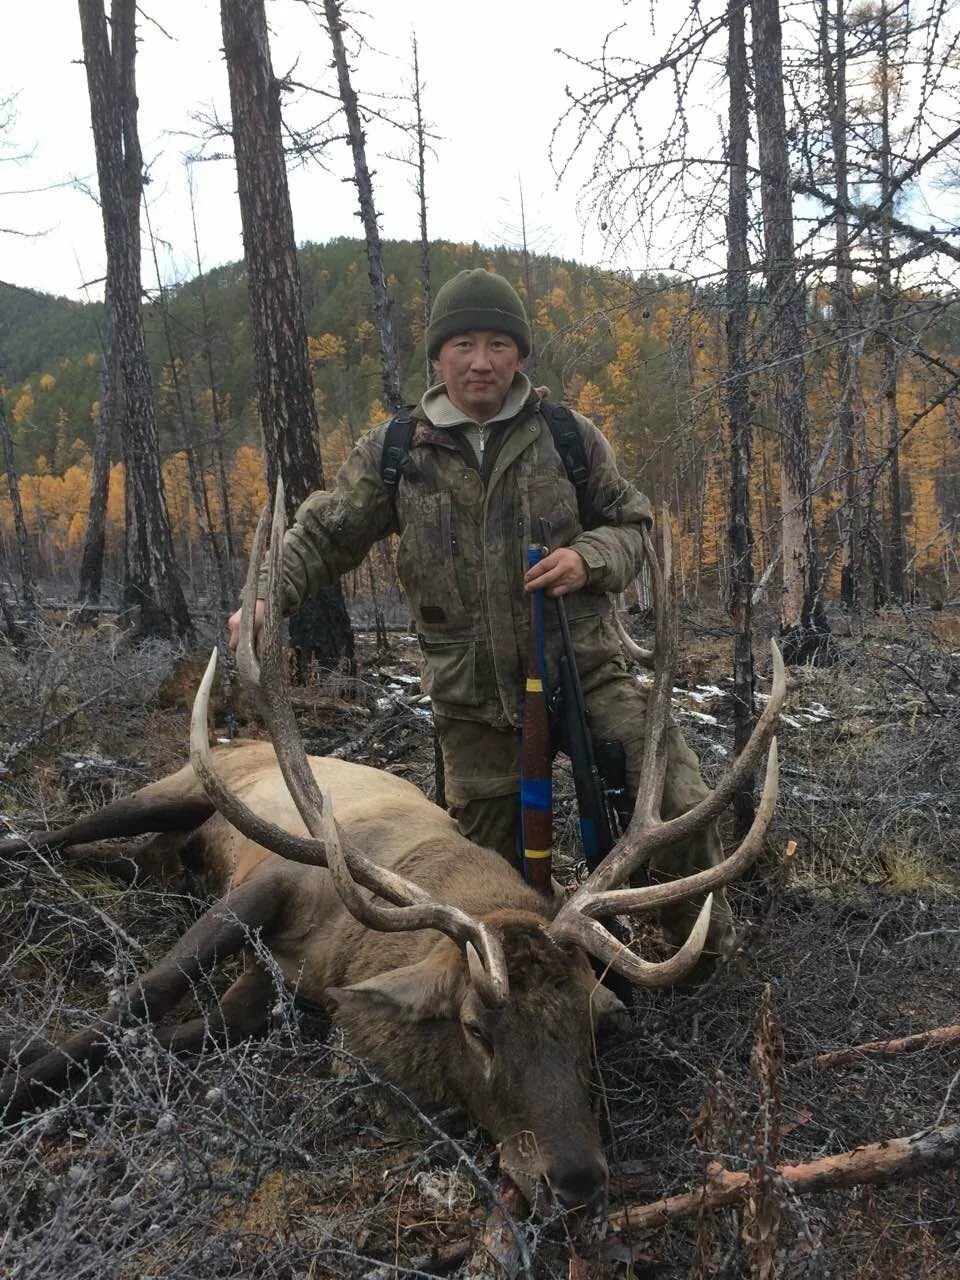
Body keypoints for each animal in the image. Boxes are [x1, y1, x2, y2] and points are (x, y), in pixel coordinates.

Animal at [0, 486, 788, 1208]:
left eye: (594, 1024)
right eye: (475, 1028)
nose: (576, 1180)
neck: (347, 952)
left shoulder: (281, 989)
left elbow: (188, 1031)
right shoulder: (271, 882)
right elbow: (145, 993)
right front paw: (21, 1076)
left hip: (168, 849)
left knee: (130, 859)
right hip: (181, 786)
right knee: (61, 833)